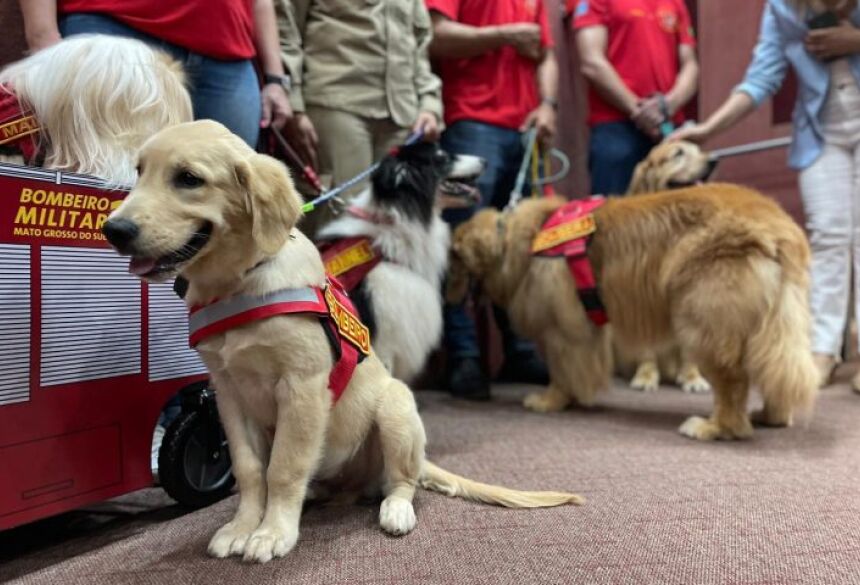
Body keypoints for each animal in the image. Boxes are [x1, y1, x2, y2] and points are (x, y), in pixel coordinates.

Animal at [450, 185, 820, 440]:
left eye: (453, 256)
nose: (446, 291)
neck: (520, 241)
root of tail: (779, 225)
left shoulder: (563, 330)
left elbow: (561, 372)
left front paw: (550, 401)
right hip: (773, 325)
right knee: (774, 372)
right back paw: (770, 416)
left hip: (703, 324)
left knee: (734, 382)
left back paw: (714, 427)